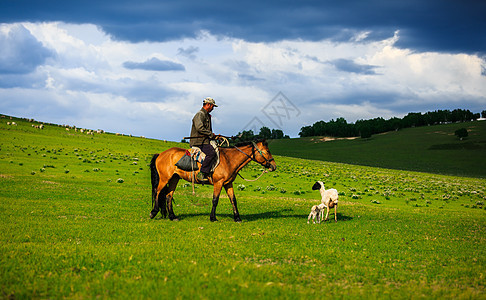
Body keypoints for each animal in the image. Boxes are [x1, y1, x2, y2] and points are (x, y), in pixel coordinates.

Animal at [148, 139, 278, 221]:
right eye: (267, 151)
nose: (274, 166)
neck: (229, 159)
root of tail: (161, 154)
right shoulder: (218, 183)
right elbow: (215, 200)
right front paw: (213, 218)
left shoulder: (228, 184)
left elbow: (233, 200)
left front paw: (237, 218)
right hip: (164, 179)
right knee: (157, 192)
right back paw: (153, 212)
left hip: (174, 179)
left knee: (168, 196)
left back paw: (172, 216)